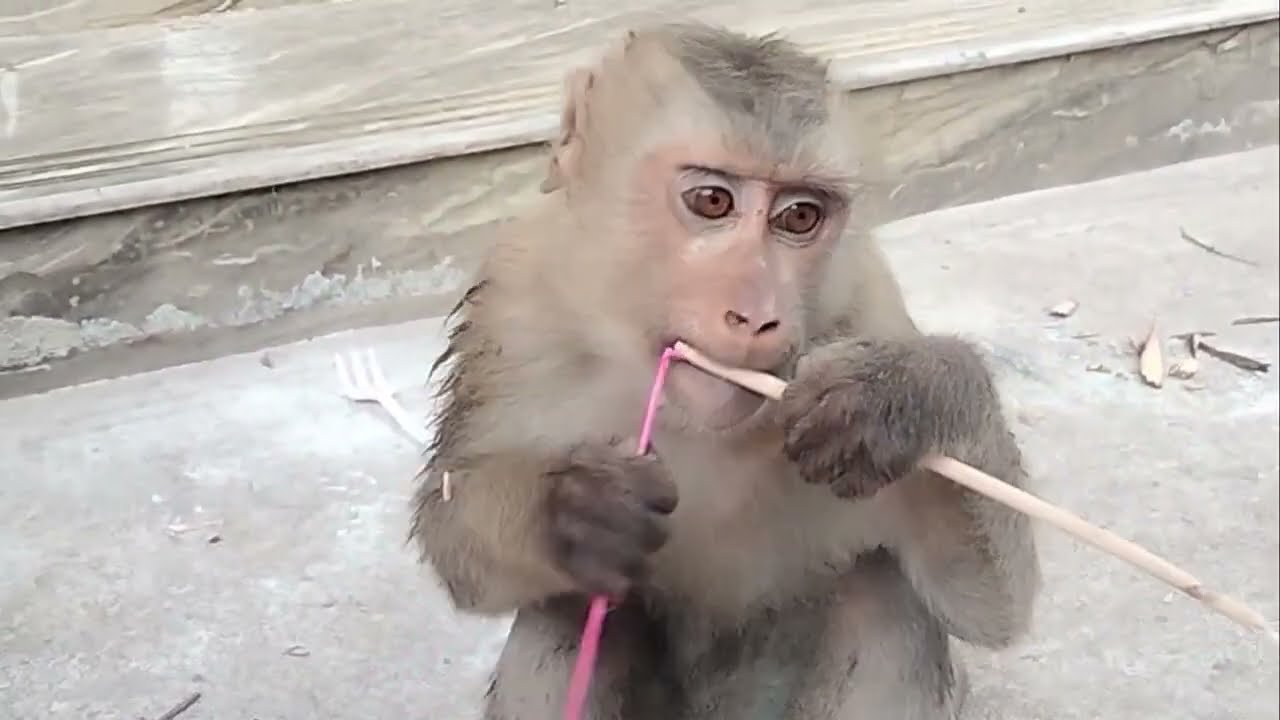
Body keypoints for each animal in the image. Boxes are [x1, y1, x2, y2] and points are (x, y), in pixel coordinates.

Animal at [409, 21, 1041, 720]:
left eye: (800, 216)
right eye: (711, 200)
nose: (756, 316)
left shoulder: (870, 302)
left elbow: (989, 605)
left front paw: (908, 395)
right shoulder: (512, 304)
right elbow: (455, 524)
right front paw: (574, 511)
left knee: (881, 597)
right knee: (568, 614)